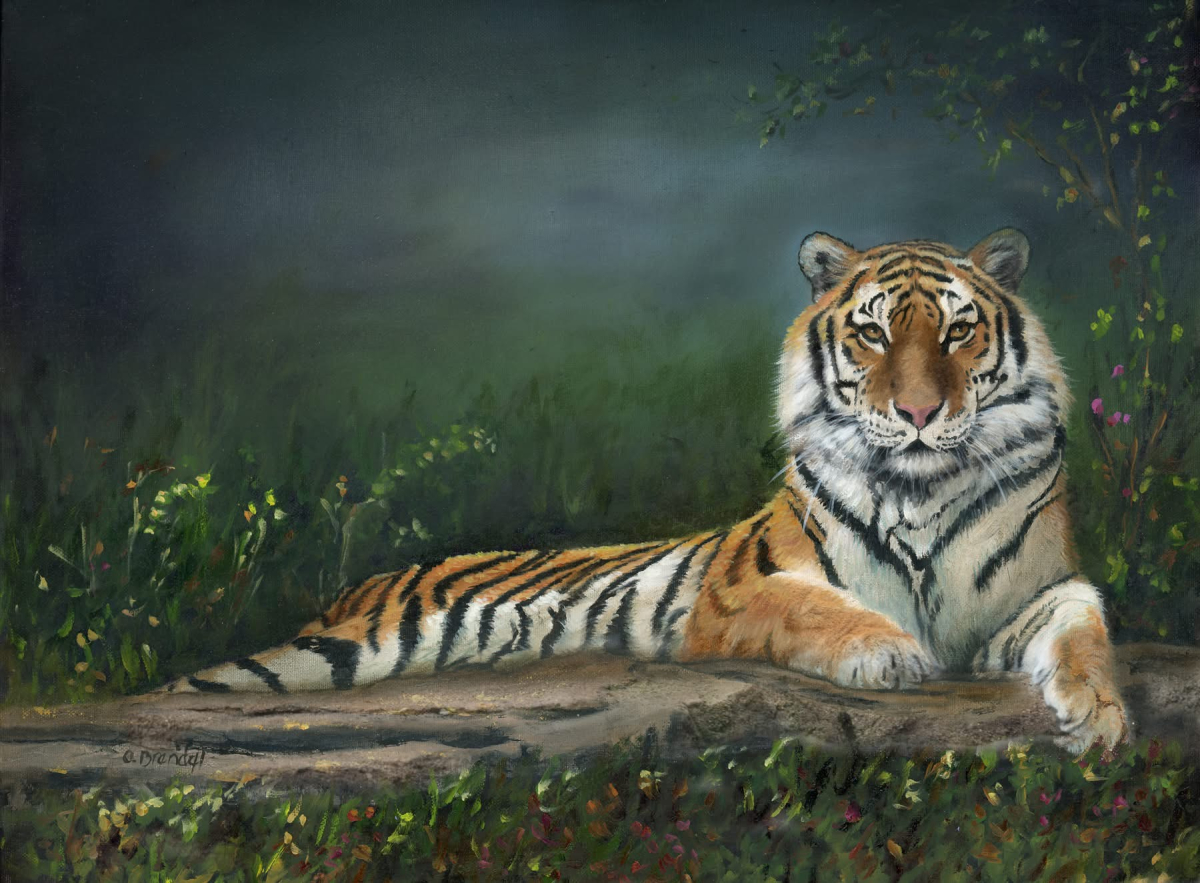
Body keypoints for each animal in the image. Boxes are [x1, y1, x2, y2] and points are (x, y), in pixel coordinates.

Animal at [163, 228, 1129, 753]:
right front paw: (890, 652)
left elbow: (1083, 627)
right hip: (322, 653)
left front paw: (1101, 716)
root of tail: (350, 587)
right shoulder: (739, 590)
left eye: (960, 332)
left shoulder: (1041, 586)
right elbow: (820, 607)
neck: (921, 488)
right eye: (874, 334)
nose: (921, 411)